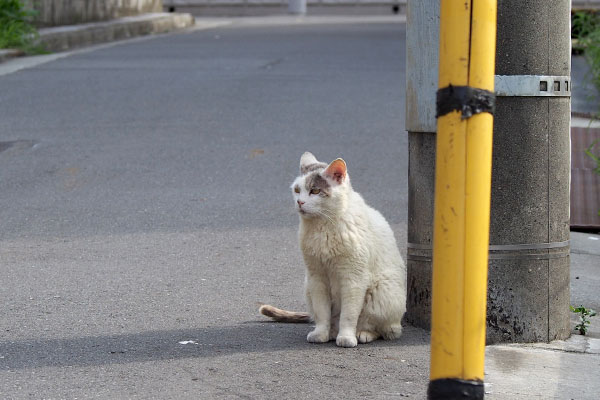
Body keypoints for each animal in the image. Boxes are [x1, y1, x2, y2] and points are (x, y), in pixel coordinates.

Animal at [260, 152, 406, 346]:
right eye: (297, 190)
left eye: (315, 191)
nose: (299, 202)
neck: (323, 227)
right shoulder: (317, 277)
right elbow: (322, 313)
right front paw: (321, 333)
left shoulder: (353, 279)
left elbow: (349, 315)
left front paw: (346, 337)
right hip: (308, 287)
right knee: (330, 319)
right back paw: (331, 332)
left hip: (383, 291)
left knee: (382, 328)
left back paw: (362, 334)